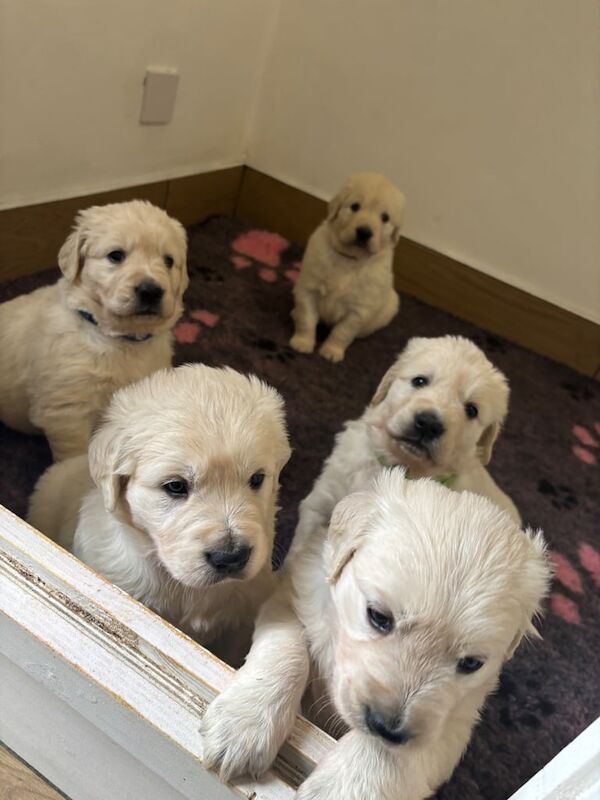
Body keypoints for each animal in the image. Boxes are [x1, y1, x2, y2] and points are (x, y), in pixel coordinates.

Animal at [0, 200, 188, 460]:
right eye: (116, 256)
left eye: (168, 261)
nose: (150, 290)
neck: (121, 338)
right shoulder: (68, 410)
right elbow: (75, 457)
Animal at [200, 472, 548, 796]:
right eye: (379, 617)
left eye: (471, 663)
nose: (386, 727)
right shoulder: (295, 597)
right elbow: (287, 650)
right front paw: (243, 725)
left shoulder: (457, 719)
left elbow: (400, 752)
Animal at [288, 175, 406, 366]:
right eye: (355, 206)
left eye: (385, 218)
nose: (364, 232)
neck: (349, 259)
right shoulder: (308, 288)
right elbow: (307, 317)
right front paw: (303, 342)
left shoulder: (358, 310)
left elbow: (342, 332)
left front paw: (331, 351)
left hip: (392, 305)